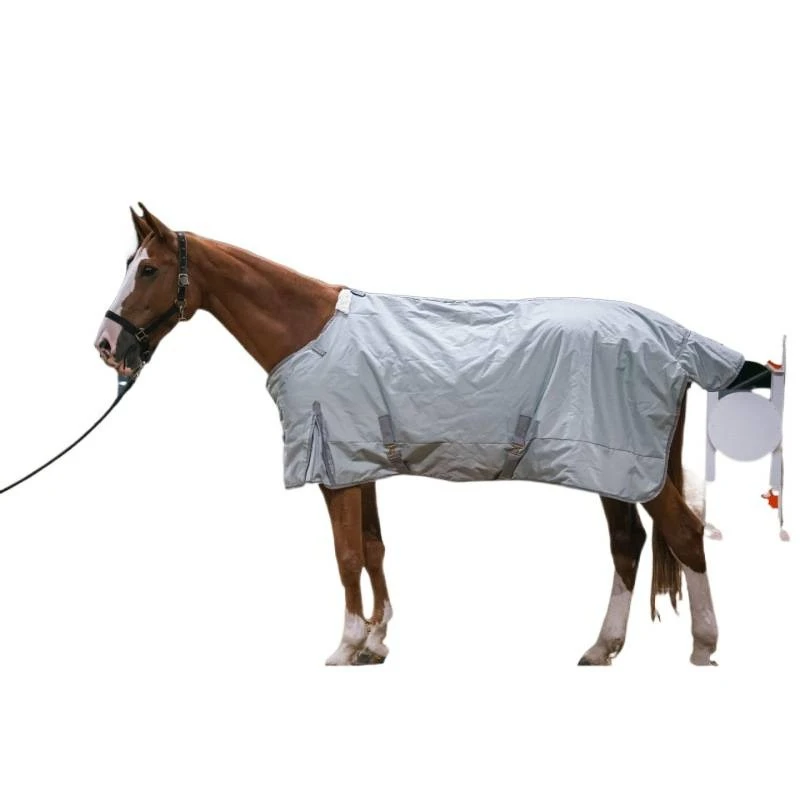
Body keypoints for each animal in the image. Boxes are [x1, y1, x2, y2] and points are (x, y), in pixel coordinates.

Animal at [95, 204, 755, 667]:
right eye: (129, 265)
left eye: (148, 269)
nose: (106, 345)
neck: (308, 330)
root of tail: (674, 338)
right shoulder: (357, 464)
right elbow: (374, 549)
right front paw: (377, 642)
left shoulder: (334, 468)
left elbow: (346, 555)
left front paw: (346, 646)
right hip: (611, 470)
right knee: (628, 544)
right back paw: (601, 649)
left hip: (629, 466)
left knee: (684, 534)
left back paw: (703, 647)